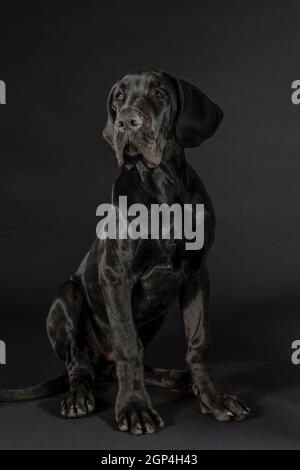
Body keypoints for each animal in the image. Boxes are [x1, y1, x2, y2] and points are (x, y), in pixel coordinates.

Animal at [0, 69, 251, 434]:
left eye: (160, 93)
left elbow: (198, 341)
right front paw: (135, 407)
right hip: (67, 296)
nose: (126, 122)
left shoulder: (196, 275)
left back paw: (182, 379)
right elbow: (128, 347)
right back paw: (79, 396)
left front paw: (212, 396)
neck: (161, 187)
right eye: (118, 97)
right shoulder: (116, 276)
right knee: (82, 366)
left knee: (120, 364)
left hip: (156, 314)